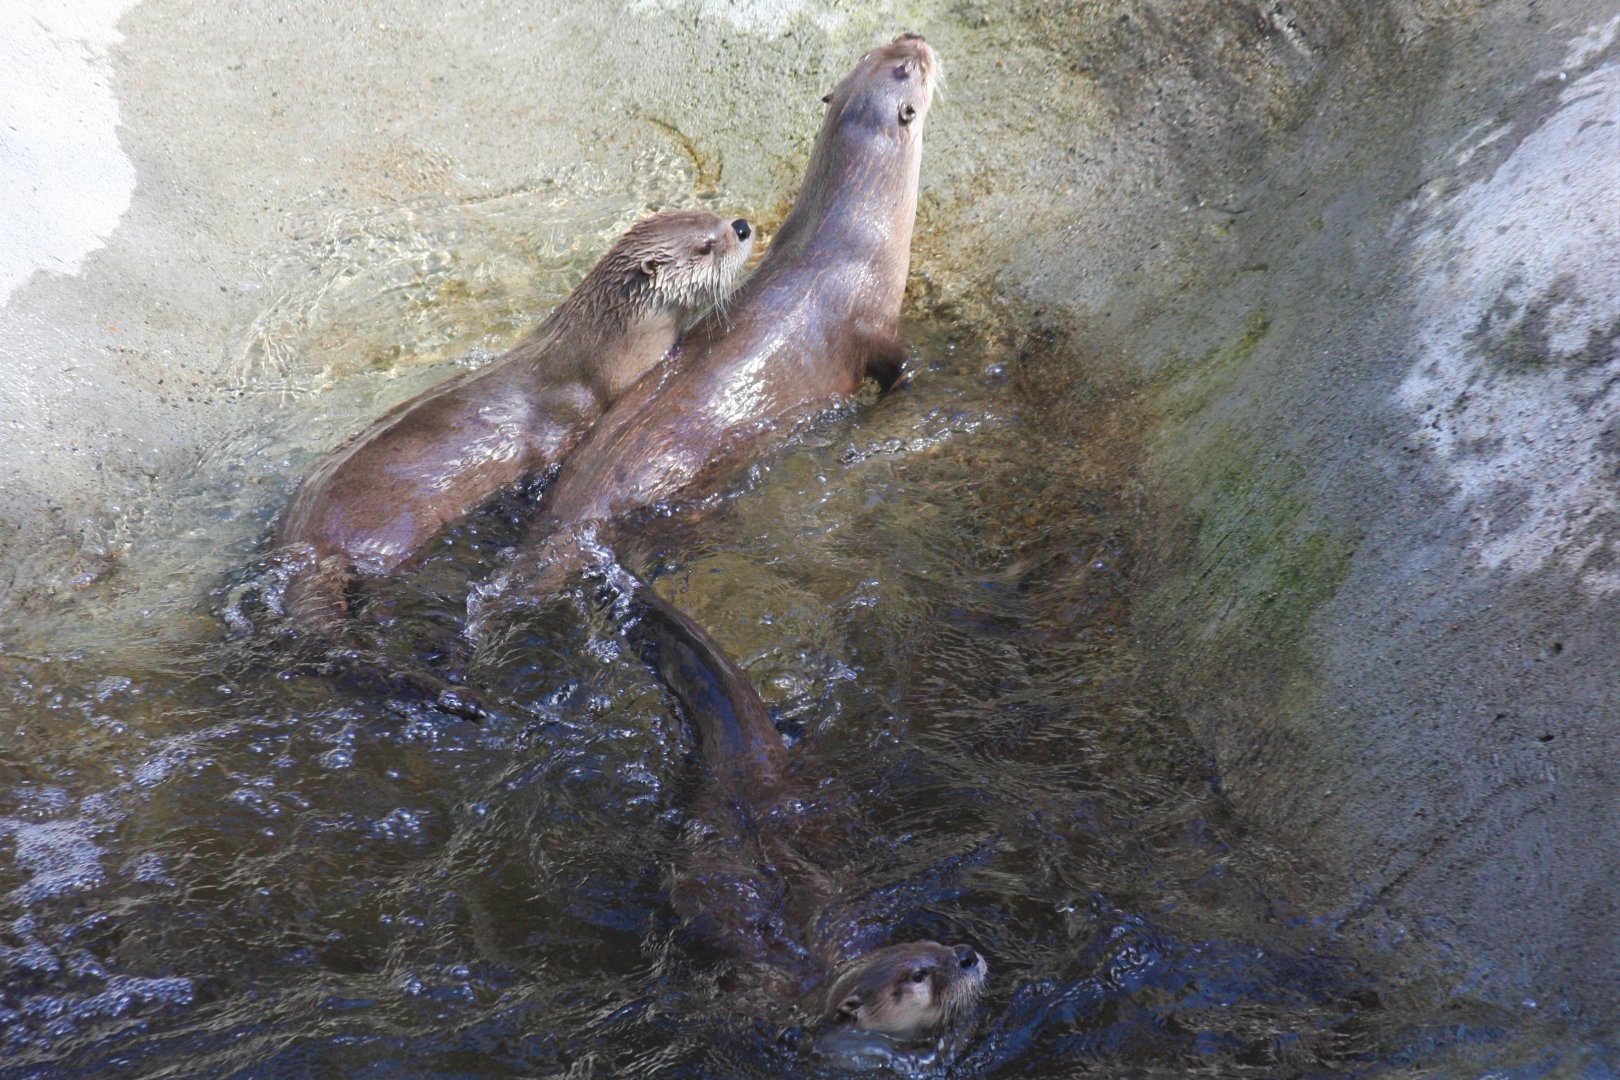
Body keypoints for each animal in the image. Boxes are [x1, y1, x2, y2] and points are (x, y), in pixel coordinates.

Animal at [473, 35, 940, 617]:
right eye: (907, 70)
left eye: (875, 51)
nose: (916, 38)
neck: (850, 235)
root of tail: (572, 521)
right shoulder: (876, 325)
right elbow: (898, 369)